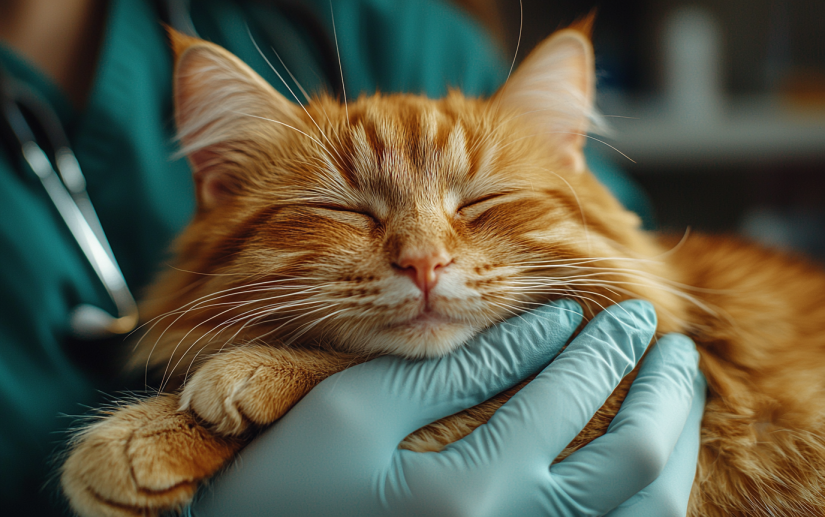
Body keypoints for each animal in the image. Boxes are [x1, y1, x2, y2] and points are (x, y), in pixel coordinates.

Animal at [61, 21, 824, 516]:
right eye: (345, 210)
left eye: (481, 201)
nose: (424, 262)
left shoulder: (681, 389)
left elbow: (374, 372)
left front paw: (169, 418)